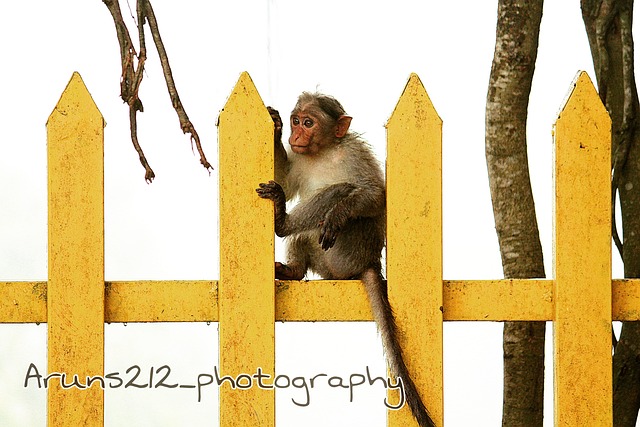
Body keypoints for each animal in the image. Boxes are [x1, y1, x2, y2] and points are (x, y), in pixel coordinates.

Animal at [256, 92, 435, 427]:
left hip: (347, 251)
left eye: (309, 123)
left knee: (339, 191)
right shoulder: (300, 158)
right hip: (326, 260)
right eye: (296, 120)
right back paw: (293, 269)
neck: (323, 152)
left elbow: (374, 195)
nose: (295, 135)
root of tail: (369, 262)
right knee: (308, 231)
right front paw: (274, 127)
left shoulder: (353, 154)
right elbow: (284, 177)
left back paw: (283, 221)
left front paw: (338, 213)